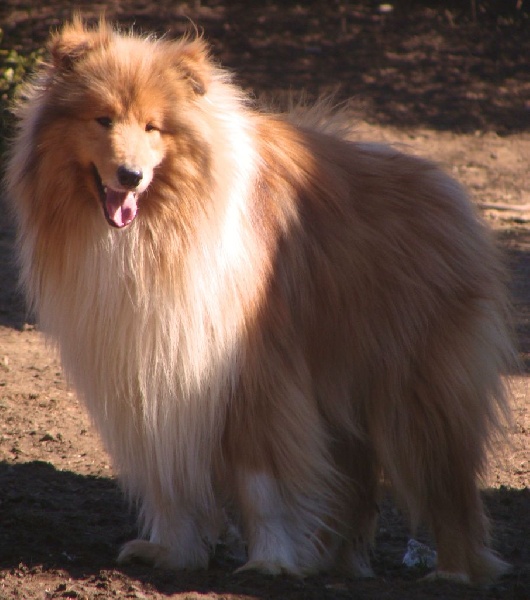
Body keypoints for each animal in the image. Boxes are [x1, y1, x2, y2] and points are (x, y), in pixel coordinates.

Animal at [5, 17, 514, 583]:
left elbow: (262, 482)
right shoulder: (148, 373)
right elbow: (169, 481)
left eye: (154, 128)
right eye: (103, 119)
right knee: (356, 485)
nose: (130, 176)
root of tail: (449, 189)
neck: (154, 233)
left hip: (414, 395)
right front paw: (171, 553)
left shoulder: (253, 374)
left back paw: (453, 572)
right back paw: (336, 561)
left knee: (447, 490)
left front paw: (270, 562)